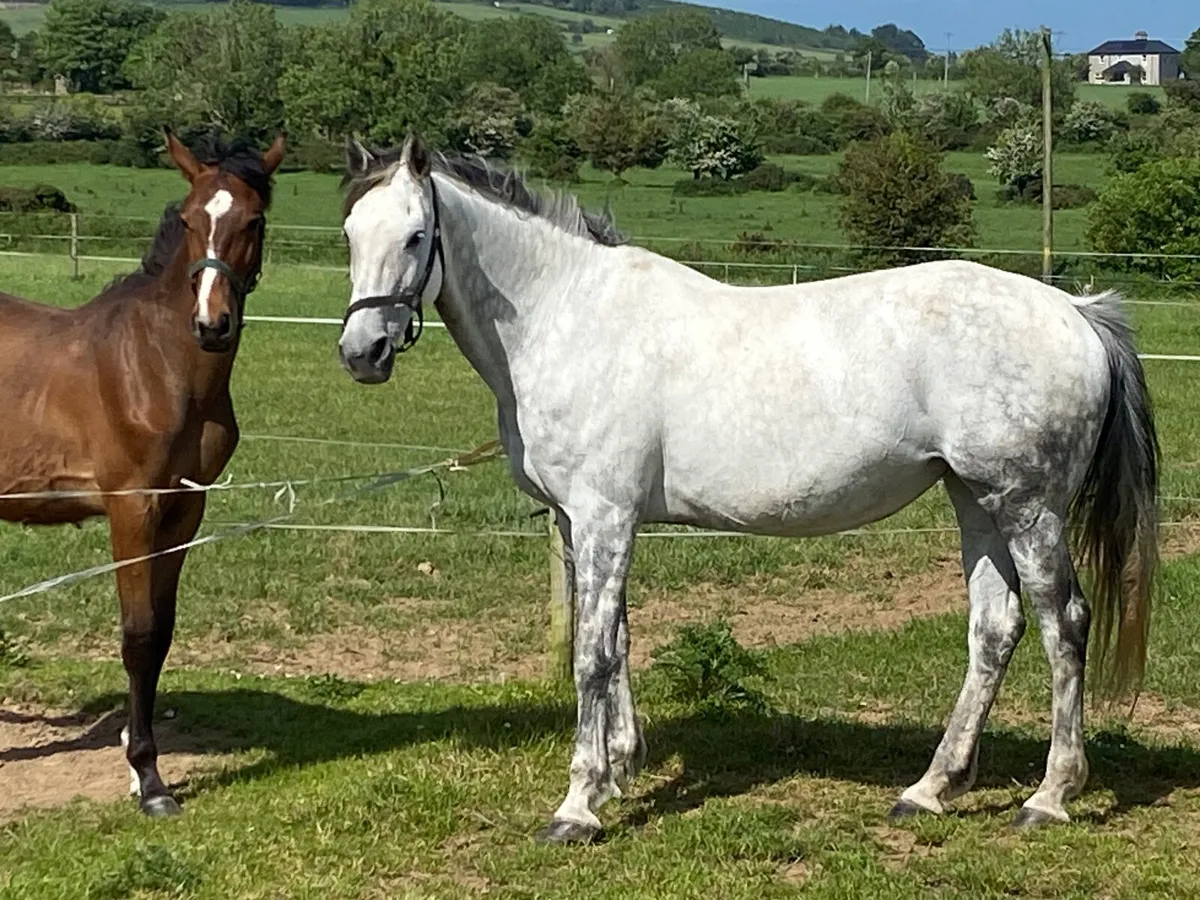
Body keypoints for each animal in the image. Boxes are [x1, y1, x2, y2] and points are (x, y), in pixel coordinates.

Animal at [0, 129, 285, 817]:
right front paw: (149, 781)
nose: (212, 324)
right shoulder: (132, 506)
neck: (158, 367)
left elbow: (161, 636)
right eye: (187, 219)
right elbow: (137, 634)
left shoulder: (185, 510)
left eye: (254, 220)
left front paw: (141, 768)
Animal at [336, 134, 1159, 842]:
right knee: (994, 629)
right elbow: (619, 637)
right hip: (976, 501)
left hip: (1028, 508)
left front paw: (578, 805)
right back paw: (930, 789)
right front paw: (621, 770)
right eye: (349, 233)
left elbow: (591, 654)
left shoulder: (604, 516)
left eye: (415, 236)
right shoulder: (581, 522)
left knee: (1064, 625)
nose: (361, 352)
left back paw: (1049, 797)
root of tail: (1075, 312)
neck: (567, 317)